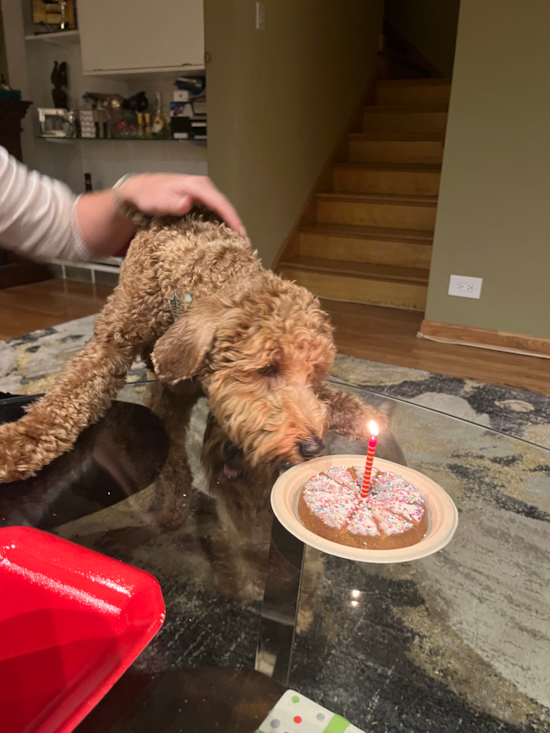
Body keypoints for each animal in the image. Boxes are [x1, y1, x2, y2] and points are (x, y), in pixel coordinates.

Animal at [0, 209, 388, 484]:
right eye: (267, 368)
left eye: (314, 375)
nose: (313, 447)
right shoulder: (111, 344)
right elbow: (67, 399)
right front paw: (18, 443)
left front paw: (361, 413)